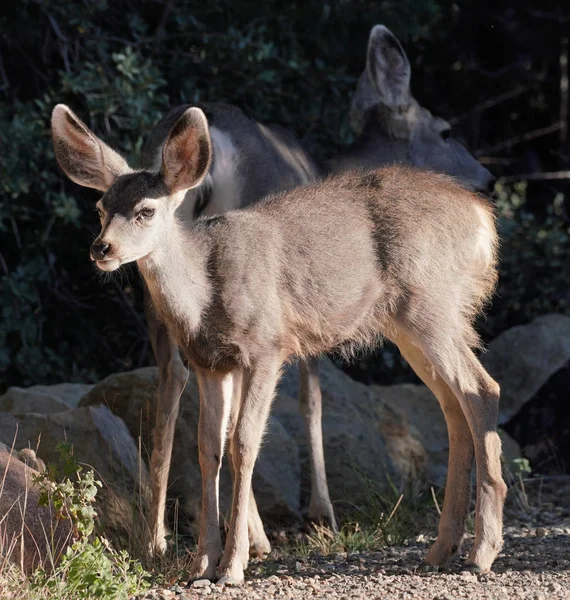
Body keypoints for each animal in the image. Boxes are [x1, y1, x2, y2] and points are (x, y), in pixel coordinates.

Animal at [48, 105, 502, 584]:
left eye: (145, 211)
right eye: (100, 207)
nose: (101, 248)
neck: (206, 291)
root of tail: (483, 219)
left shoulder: (268, 345)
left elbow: (245, 442)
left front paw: (232, 565)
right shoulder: (211, 363)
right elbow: (208, 448)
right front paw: (204, 563)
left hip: (432, 305)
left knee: (482, 389)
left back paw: (481, 553)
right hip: (410, 324)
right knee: (455, 406)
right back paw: (442, 549)